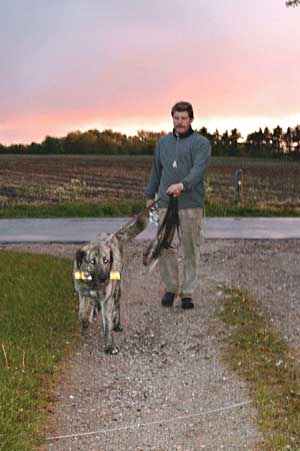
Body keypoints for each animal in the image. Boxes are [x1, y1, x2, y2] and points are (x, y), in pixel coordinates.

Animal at [73, 214, 147, 354]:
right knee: (94, 304)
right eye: (92, 261)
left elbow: (107, 324)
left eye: (106, 260)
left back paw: (116, 324)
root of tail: (114, 235)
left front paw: (109, 346)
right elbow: (81, 314)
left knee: (117, 306)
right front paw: (85, 325)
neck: (93, 283)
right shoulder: (83, 295)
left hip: (117, 290)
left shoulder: (107, 300)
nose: (104, 278)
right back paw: (93, 314)